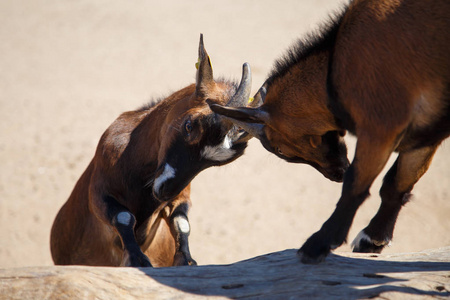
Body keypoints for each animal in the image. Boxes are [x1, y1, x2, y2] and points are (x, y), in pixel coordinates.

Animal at [51, 35, 253, 268]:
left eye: (217, 162)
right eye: (189, 125)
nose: (165, 191)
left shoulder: (181, 196)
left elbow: (182, 222)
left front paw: (186, 259)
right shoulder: (98, 192)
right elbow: (123, 216)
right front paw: (136, 258)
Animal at [211, 0, 450, 264]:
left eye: (280, 150)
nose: (336, 174)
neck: (335, 63)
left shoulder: (381, 123)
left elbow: (356, 184)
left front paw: (318, 243)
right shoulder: (426, 132)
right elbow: (398, 182)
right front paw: (373, 238)